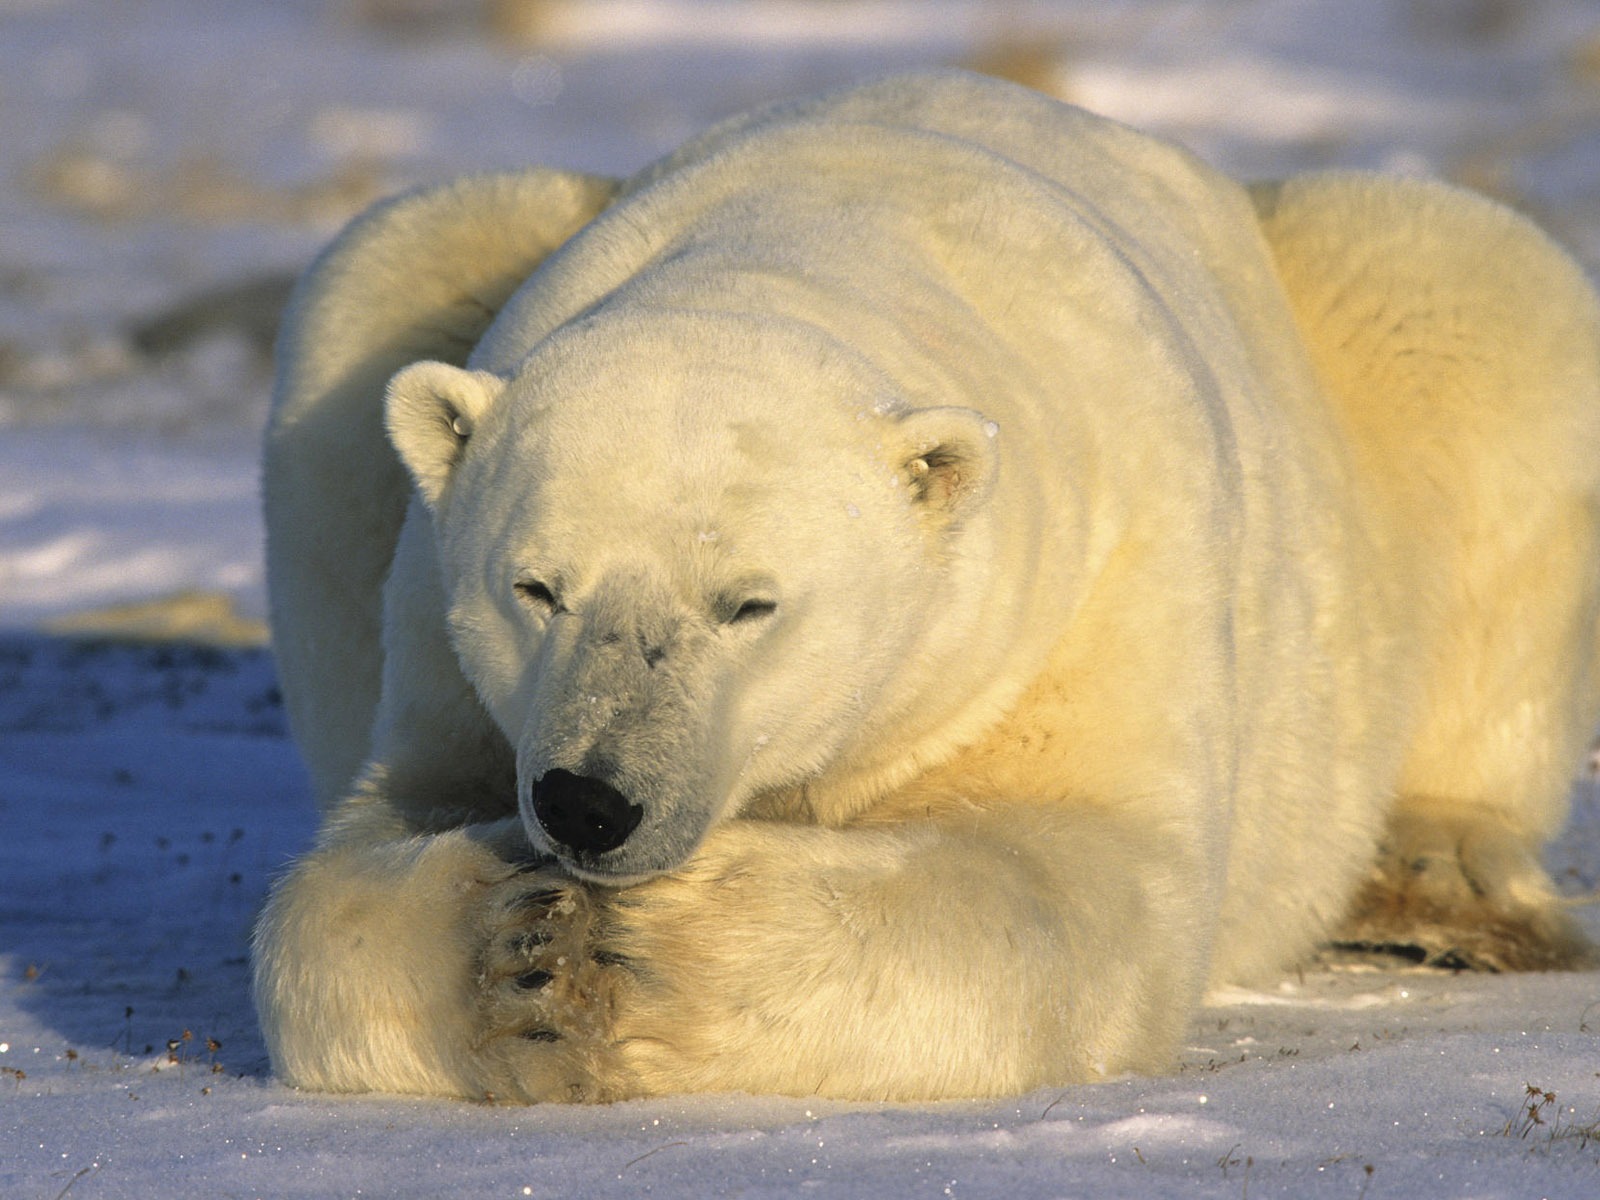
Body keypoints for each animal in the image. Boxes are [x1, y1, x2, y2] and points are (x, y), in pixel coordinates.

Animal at [252, 70, 1600, 1107]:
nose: (590, 803)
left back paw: (1441, 869)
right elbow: (354, 865)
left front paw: (640, 947)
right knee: (382, 272)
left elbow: (1079, 878)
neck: (816, 239)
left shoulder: (1092, 575)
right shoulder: (450, 657)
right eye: (536, 587)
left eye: (748, 603)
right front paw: (514, 947)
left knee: (1480, 303)